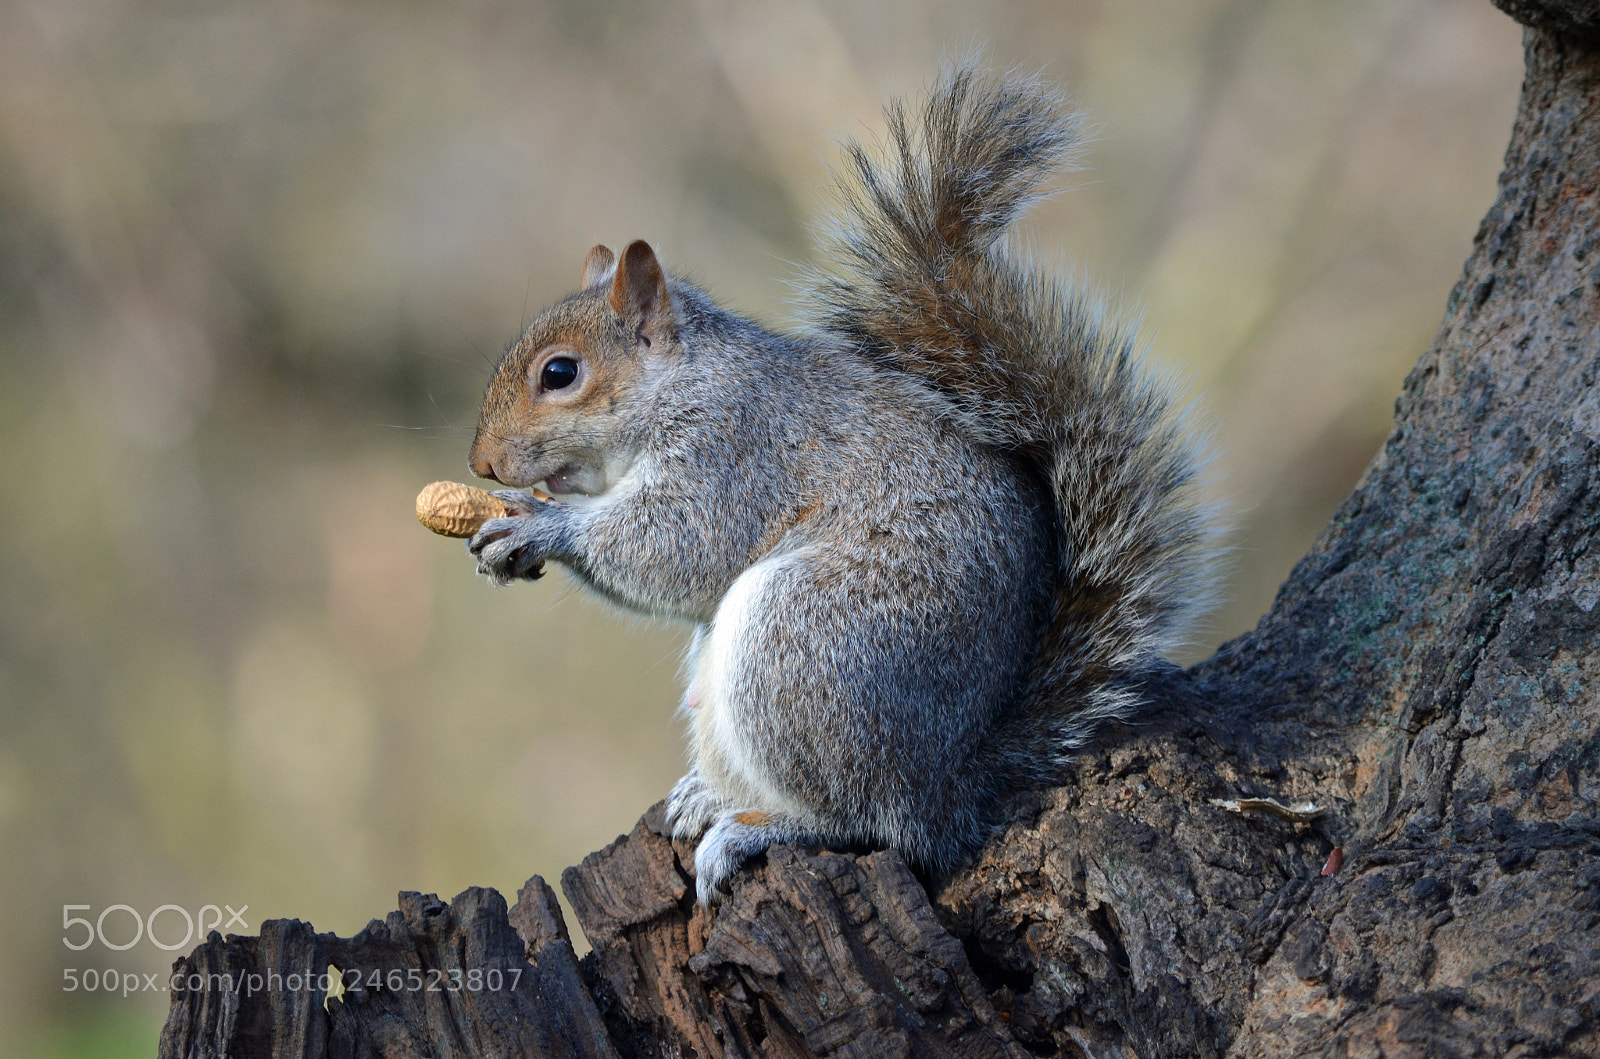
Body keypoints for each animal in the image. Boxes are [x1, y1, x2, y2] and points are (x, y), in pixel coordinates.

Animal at [465, 64, 1220, 906]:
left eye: (560, 373)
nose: (482, 464)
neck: (685, 382)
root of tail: (950, 782)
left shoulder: (735, 453)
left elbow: (678, 549)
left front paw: (542, 524)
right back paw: (709, 794)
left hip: (804, 642)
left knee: (869, 822)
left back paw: (756, 829)